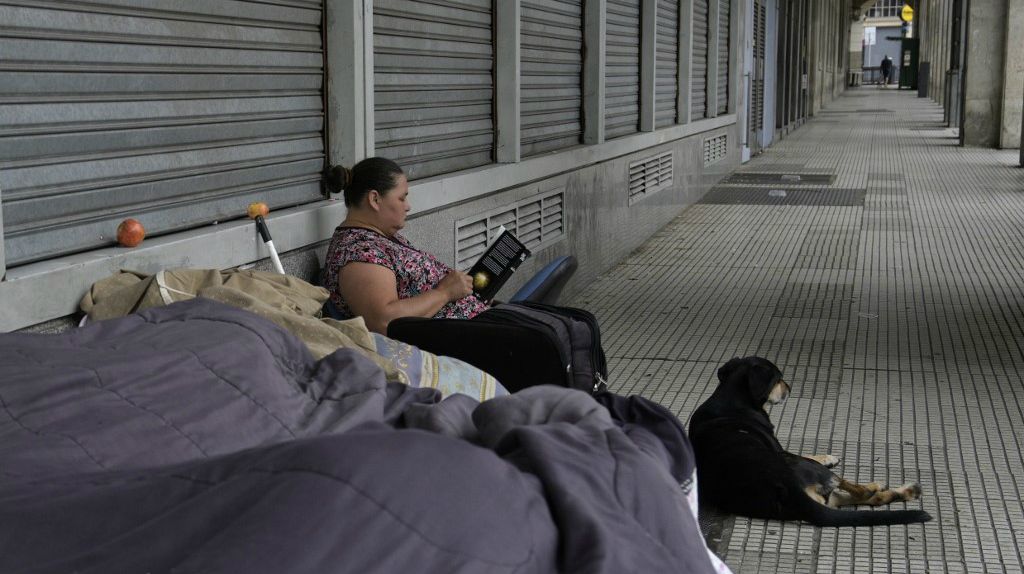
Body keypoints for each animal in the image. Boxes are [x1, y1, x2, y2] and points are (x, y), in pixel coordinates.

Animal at [684, 356, 933, 527]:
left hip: (825, 498)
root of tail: (787, 491)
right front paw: (828, 457)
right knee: (862, 493)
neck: (730, 400)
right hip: (805, 468)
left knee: (871, 500)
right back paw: (878, 486)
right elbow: (806, 453)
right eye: (778, 378)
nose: (789, 387)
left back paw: (908, 491)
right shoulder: (781, 449)